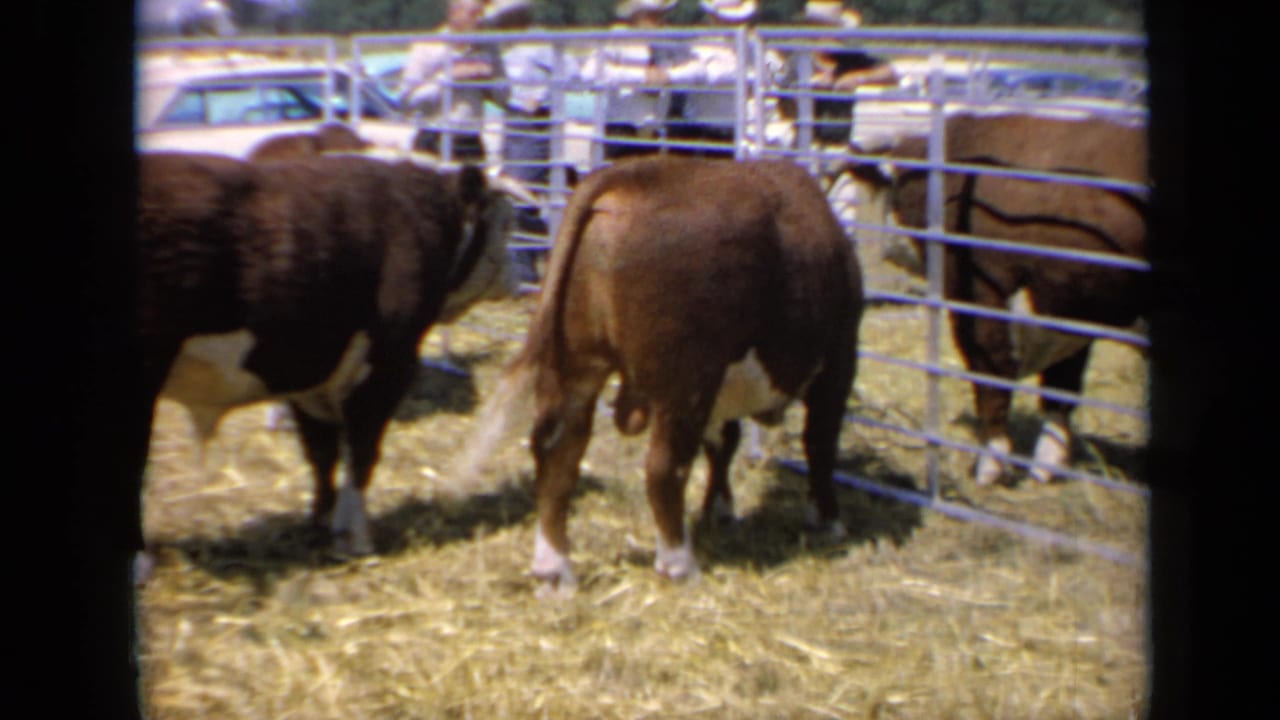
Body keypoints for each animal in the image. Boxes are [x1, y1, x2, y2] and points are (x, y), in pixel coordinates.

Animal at [136, 151, 516, 561]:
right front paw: (355, 537)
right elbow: (362, 452)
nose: (517, 278)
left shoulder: (309, 369)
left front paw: (322, 518)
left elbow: (322, 451)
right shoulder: (389, 362)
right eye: (506, 225)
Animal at [460, 156, 865, 596]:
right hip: (685, 381)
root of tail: (628, 174)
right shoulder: (838, 361)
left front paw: (719, 509)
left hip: (577, 364)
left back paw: (554, 569)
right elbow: (819, 444)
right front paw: (828, 520)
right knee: (663, 467)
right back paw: (678, 562)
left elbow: (723, 443)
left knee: (557, 452)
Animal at [846, 113, 1148, 487]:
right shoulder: (1069, 311)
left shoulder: (982, 296)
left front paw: (988, 467)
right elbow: (1060, 389)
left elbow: (992, 379)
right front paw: (1046, 466)